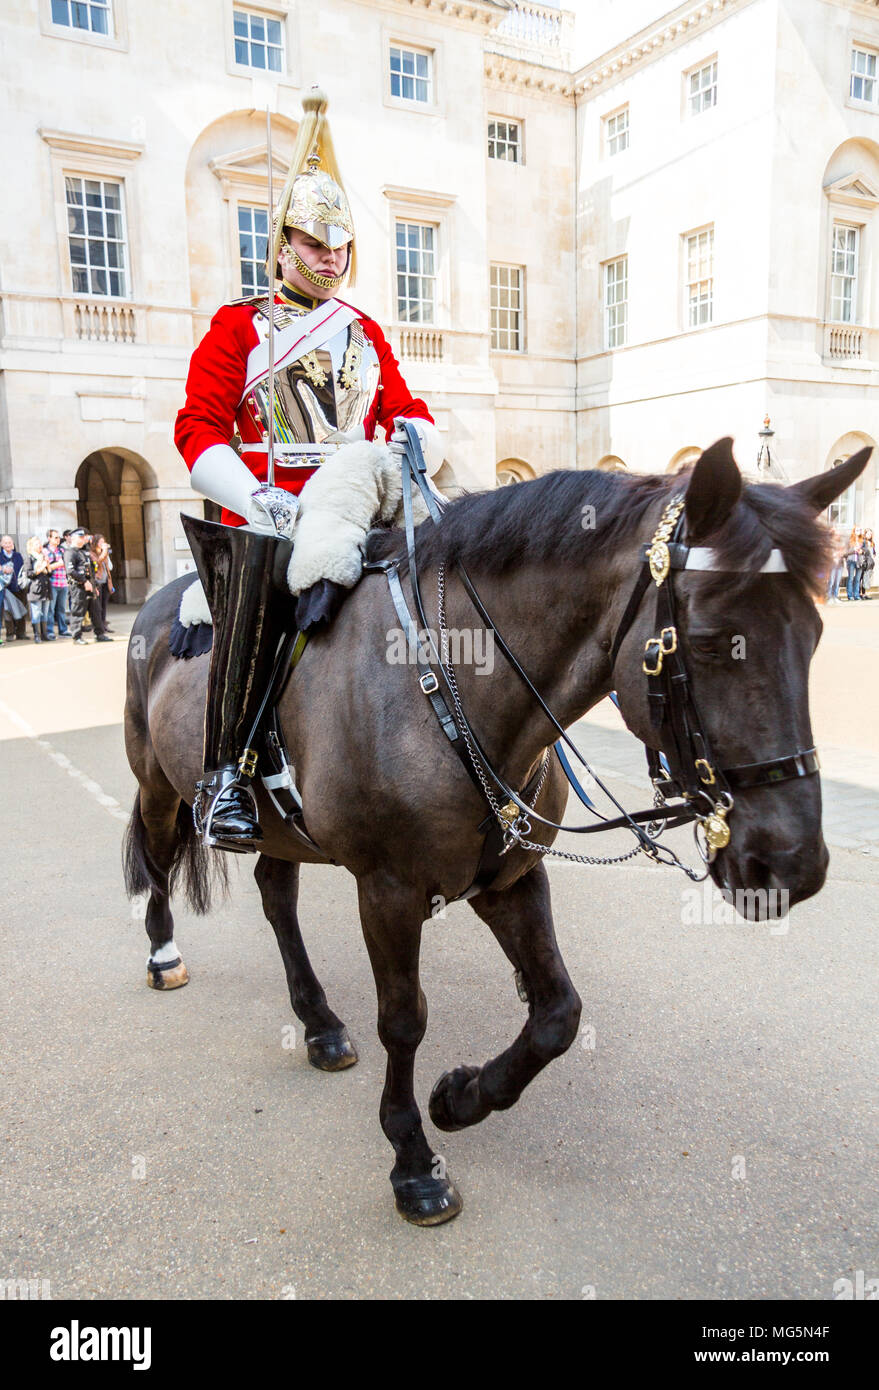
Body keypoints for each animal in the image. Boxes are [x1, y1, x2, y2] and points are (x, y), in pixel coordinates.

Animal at [125, 439, 873, 1223]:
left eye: (815, 635)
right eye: (702, 641)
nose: (791, 864)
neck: (450, 686)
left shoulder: (510, 877)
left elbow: (557, 1012)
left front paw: (462, 1098)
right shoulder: (387, 890)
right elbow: (405, 1019)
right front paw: (413, 1160)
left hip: (285, 829)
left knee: (276, 894)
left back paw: (320, 1024)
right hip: (158, 784)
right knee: (157, 859)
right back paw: (164, 955)